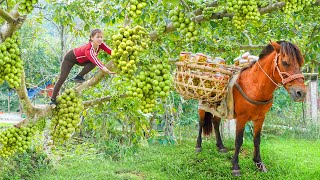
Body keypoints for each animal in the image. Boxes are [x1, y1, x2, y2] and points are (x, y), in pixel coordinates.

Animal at [196, 41, 306, 176]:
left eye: (300, 63)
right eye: (285, 62)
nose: (301, 93)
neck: (254, 86)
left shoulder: (260, 118)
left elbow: (257, 140)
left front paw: (259, 164)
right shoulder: (241, 118)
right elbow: (238, 141)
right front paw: (235, 166)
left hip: (219, 110)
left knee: (215, 122)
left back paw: (221, 146)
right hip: (202, 107)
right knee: (201, 123)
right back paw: (198, 146)